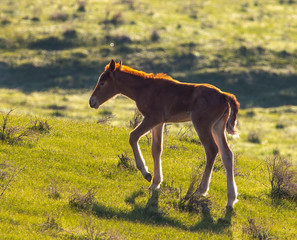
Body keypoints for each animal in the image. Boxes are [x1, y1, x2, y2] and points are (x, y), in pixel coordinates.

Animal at [89, 59, 239, 207]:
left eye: (102, 82)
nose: (92, 102)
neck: (144, 88)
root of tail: (223, 96)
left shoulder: (152, 118)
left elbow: (133, 136)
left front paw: (146, 174)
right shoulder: (159, 122)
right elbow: (156, 149)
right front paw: (155, 183)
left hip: (202, 124)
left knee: (211, 150)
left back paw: (200, 191)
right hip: (217, 126)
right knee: (227, 154)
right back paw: (231, 199)